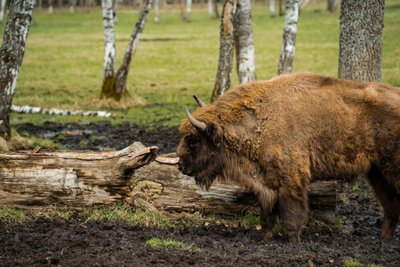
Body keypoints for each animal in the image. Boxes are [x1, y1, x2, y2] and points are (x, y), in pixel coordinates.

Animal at [177, 73, 400, 243]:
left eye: (193, 141)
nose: (180, 166)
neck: (260, 121)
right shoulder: (266, 183)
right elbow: (267, 214)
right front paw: (265, 237)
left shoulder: (292, 180)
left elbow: (292, 214)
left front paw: (293, 241)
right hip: (377, 173)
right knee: (390, 206)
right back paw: (383, 239)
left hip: (391, 169)